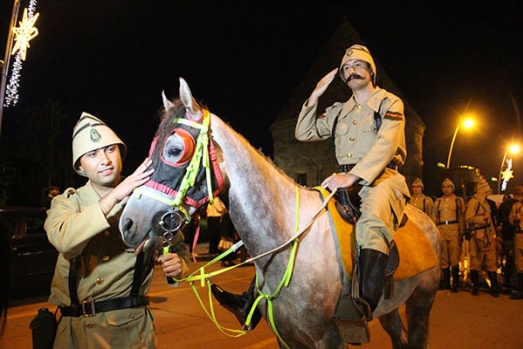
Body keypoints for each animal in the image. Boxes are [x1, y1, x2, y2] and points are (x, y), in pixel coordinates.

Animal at [118, 77, 442, 346]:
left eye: (175, 150)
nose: (128, 223)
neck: (288, 243)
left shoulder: (328, 338)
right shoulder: (286, 337)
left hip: (422, 301)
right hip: (391, 307)